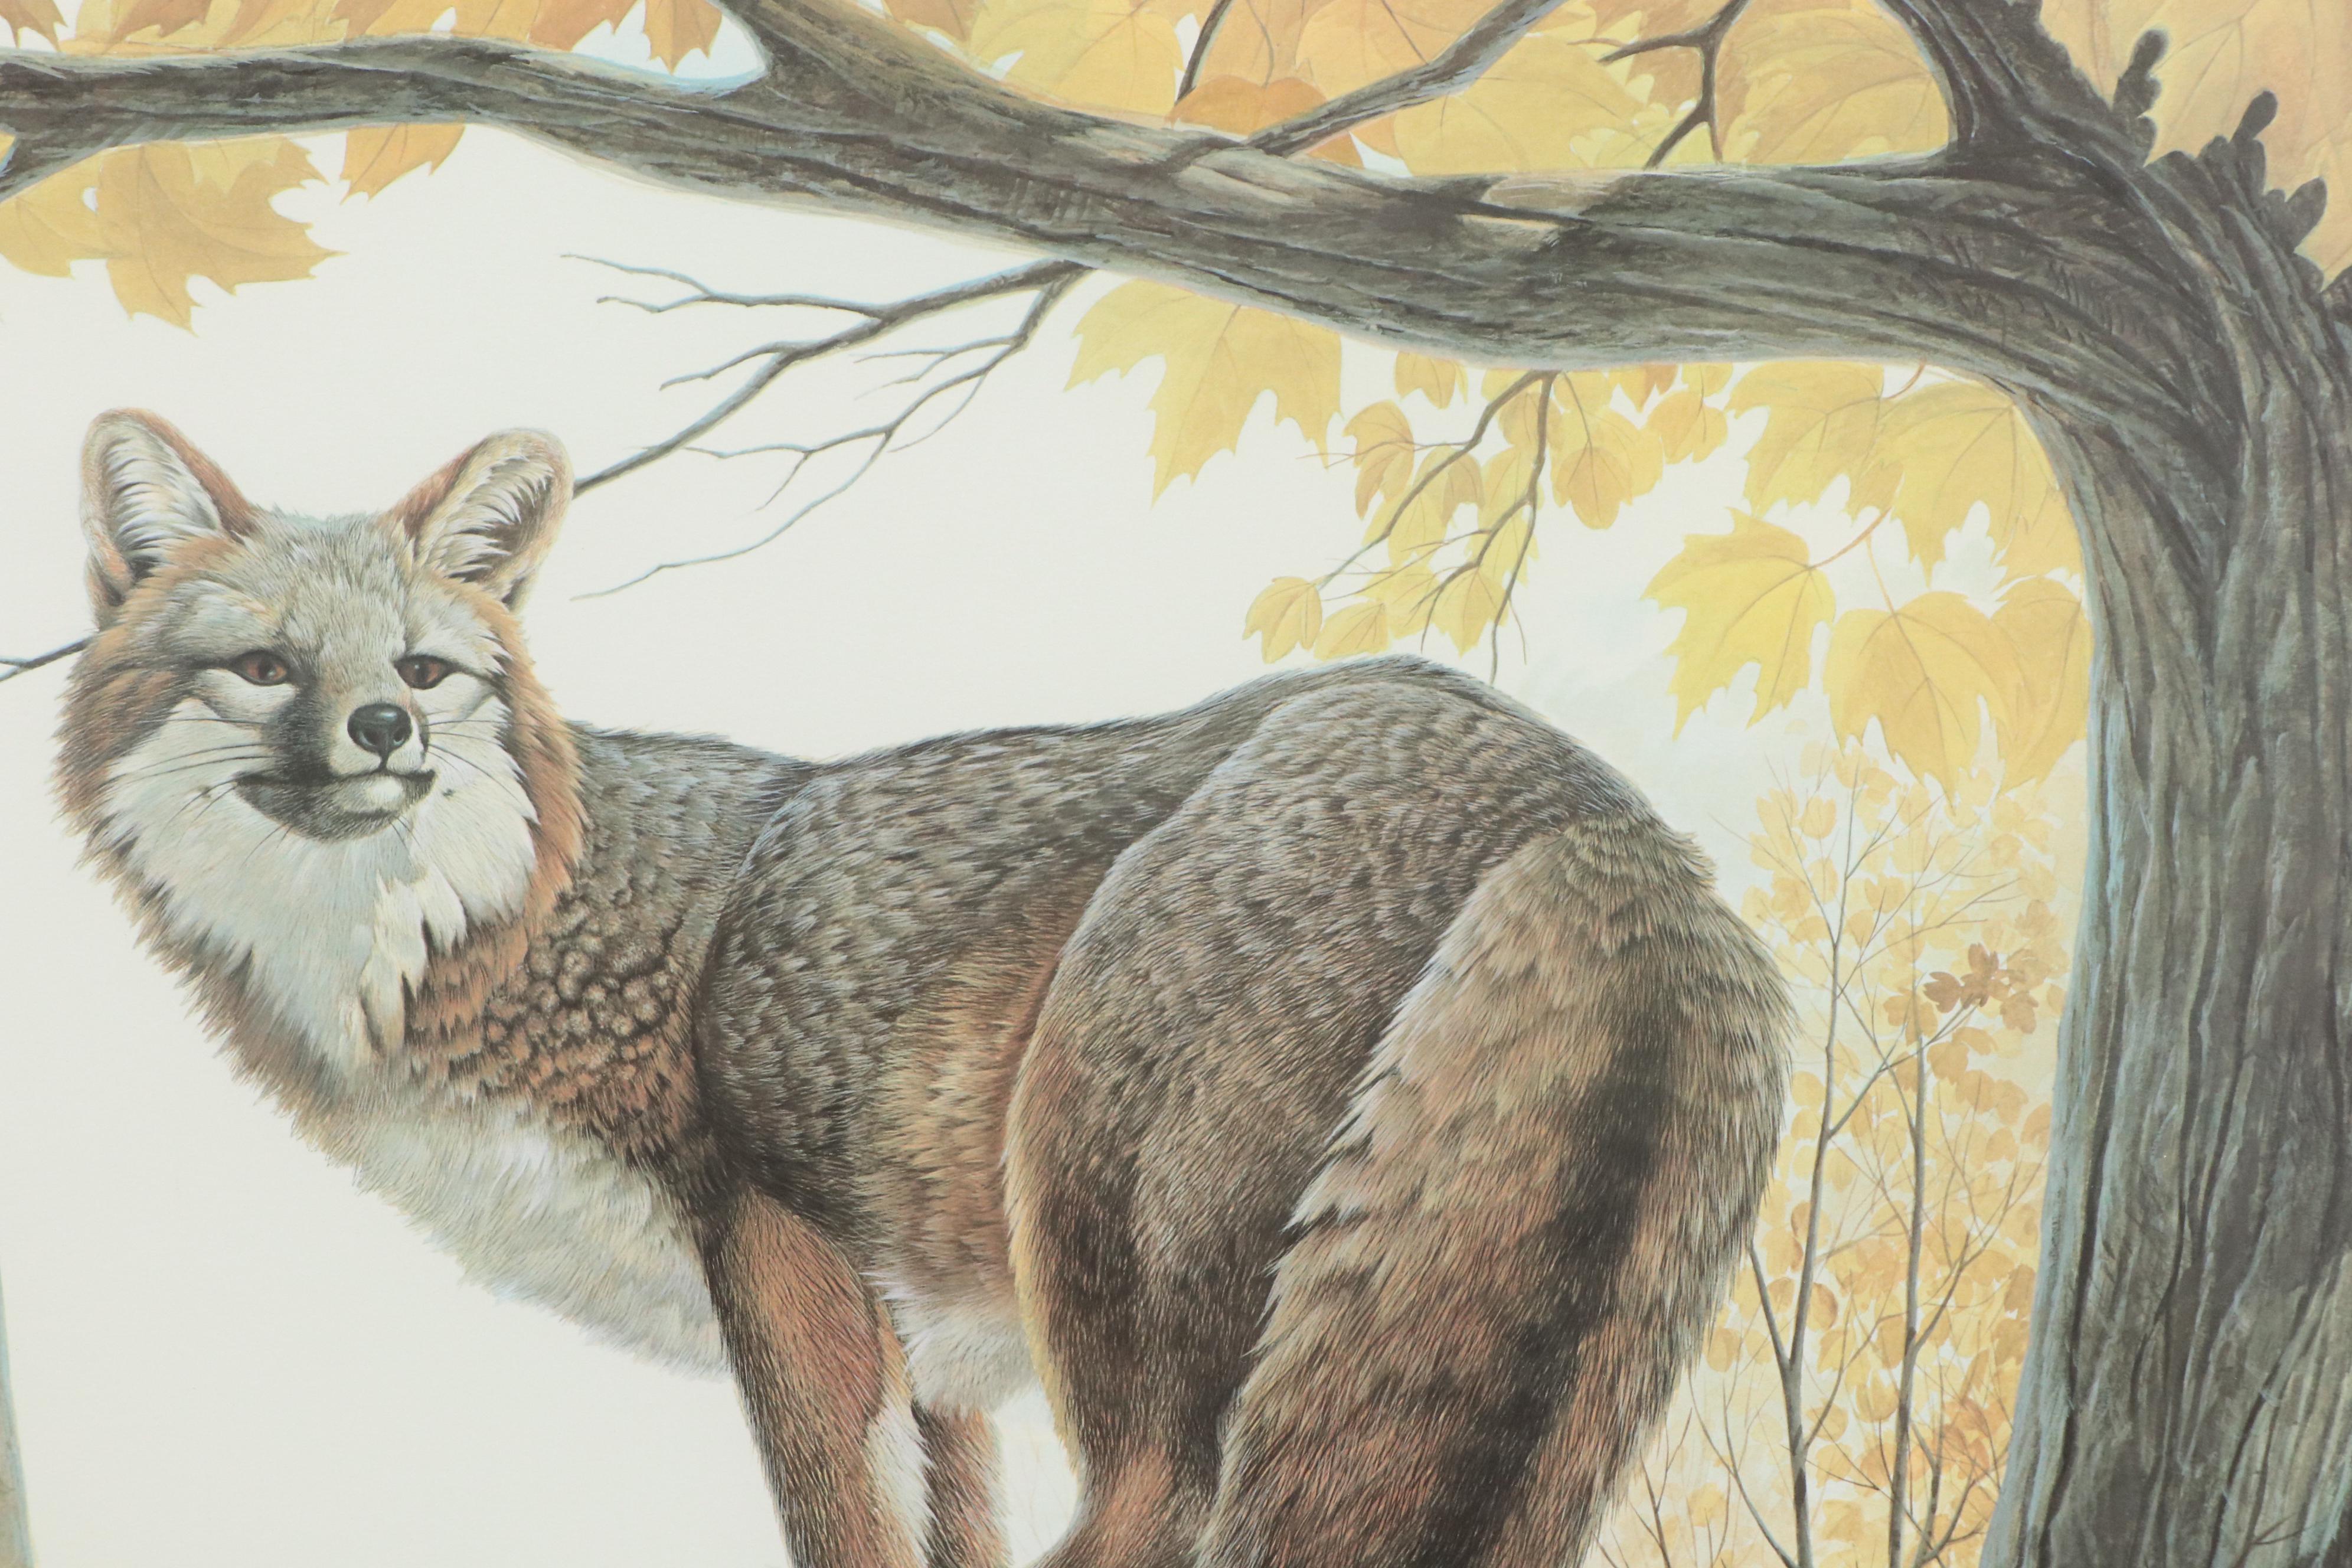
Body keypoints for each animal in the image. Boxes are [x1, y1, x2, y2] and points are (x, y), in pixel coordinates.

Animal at [55, 408, 1789, 1568]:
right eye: (268, 669)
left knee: (1156, 1519)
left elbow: (852, 1539)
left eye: (423, 672)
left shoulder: (784, 1265)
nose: (385, 735)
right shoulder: (937, 1369)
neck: (517, 929)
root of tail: (1594, 803)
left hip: (1113, 1268)